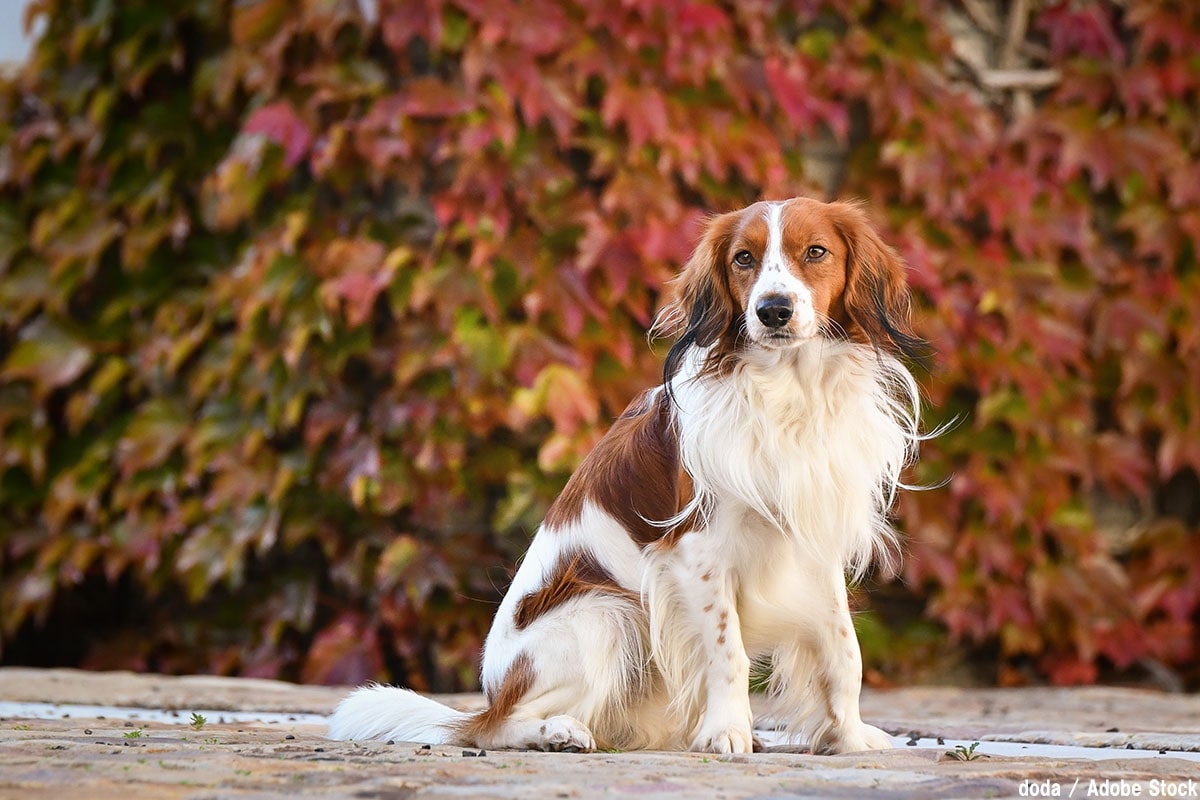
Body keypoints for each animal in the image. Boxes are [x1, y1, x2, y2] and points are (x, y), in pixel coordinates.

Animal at [328, 196, 926, 753]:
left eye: (816, 252)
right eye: (744, 259)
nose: (773, 310)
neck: (788, 392)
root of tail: (493, 691)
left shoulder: (815, 542)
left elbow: (844, 650)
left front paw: (848, 736)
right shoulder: (697, 553)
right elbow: (727, 650)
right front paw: (728, 731)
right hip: (605, 615)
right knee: (495, 729)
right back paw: (557, 731)